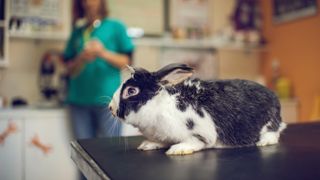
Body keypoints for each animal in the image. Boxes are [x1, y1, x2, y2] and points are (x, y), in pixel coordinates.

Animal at [109, 63, 286, 155]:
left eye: (131, 91)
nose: (110, 107)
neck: (158, 106)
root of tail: (274, 97)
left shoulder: (201, 132)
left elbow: (196, 142)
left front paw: (178, 150)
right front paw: (147, 145)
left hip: (269, 123)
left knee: (274, 133)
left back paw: (264, 142)